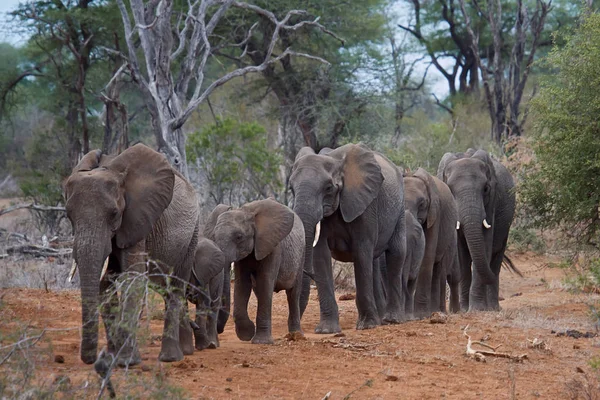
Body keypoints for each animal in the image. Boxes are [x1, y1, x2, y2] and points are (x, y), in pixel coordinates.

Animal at [63, 144, 199, 366]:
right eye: (69, 216)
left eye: (114, 214)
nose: (90, 360)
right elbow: (105, 285)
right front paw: (112, 359)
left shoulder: (137, 220)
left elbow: (132, 278)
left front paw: (126, 361)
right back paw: (186, 351)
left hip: (193, 232)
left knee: (176, 285)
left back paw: (171, 357)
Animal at [205, 198, 308, 342]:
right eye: (213, 236)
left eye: (239, 237)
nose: (219, 330)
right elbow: (242, 283)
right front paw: (247, 334)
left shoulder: (273, 247)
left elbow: (265, 280)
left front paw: (261, 341)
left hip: (301, 254)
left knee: (293, 294)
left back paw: (296, 335)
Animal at [290, 142, 408, 332]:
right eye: (291, 189)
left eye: (328, 188)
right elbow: (320, 256)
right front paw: (326, 330)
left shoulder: (366, 205)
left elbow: (361, 251)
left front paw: (367, 326)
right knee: (373, 261)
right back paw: (380, 317)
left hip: (399, 208)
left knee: (396, 254)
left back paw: (392, 320)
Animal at [406, 167, 462, 318]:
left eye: (422, 204)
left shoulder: (435, 213)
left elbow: (427, 255)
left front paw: (420, 315)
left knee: (442, 272)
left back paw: (440, 311)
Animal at [436, 148, 516, 310]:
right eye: (450, 190)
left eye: (486, 189)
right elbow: (461, 255)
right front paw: (465, 309)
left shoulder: (492, 202)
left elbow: (485, 243)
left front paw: (477, 309)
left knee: (496, 256)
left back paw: (492, 308)